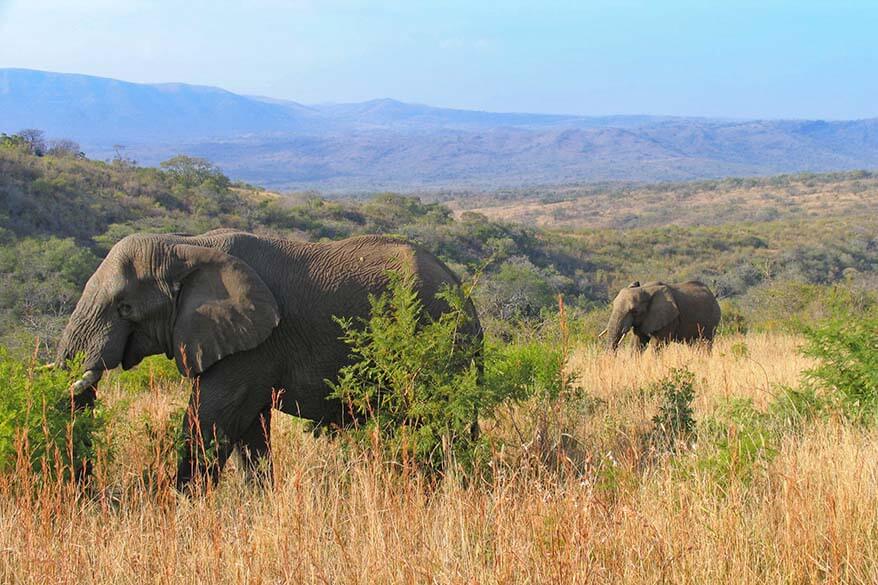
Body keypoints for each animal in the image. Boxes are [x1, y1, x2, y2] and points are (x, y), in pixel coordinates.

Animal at [54, 228, 482, 488]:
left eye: (124, 308)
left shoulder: (252, 346)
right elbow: (249, 431)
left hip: (444, 338)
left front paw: (179, 509)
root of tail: (463, 291)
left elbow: (210, 421)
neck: (184, 245)